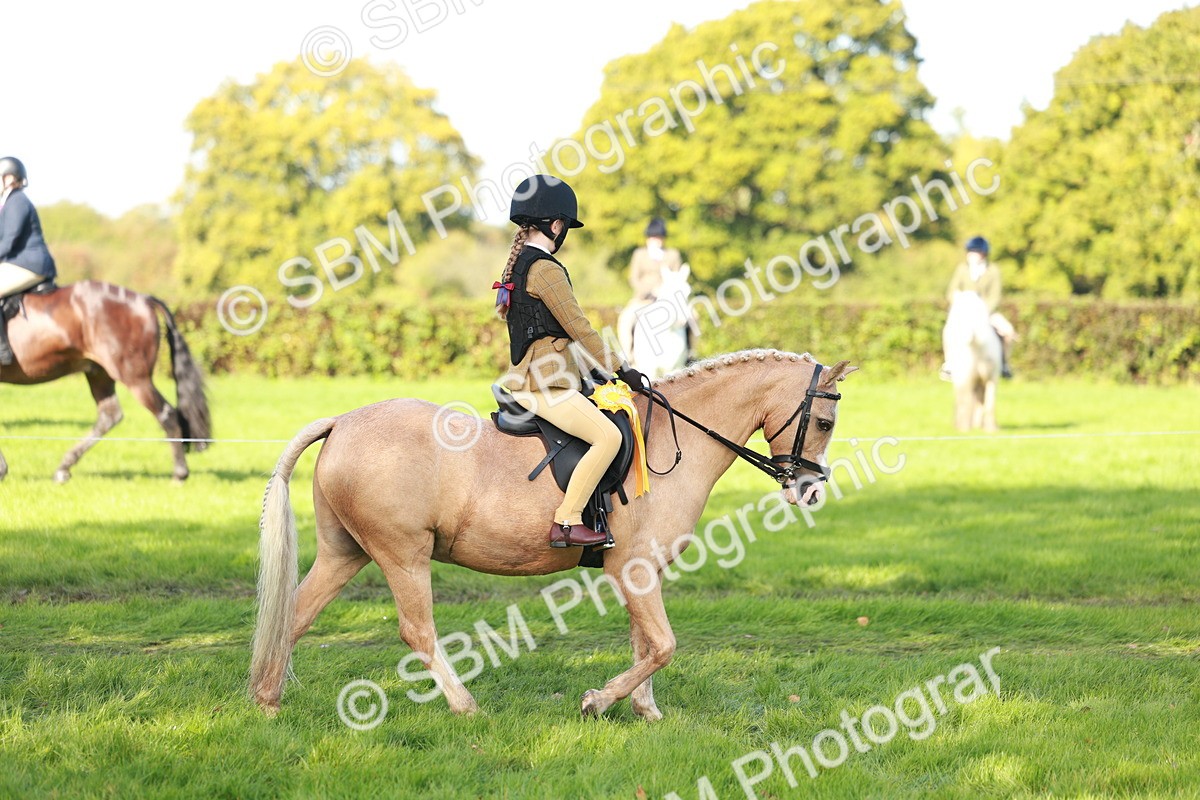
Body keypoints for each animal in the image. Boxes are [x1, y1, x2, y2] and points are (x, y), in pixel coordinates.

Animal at [0, 280, 212, 482]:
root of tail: (143, 300)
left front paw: (2, 470)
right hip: (99, 372)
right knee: (110, 415)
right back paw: (64, 468)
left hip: (134, 377)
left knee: (165, 414)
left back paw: (180, 474)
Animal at [250, 349, 857, 720]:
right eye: (825, 422)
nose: (810, 490)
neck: (671, 439)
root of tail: (343, 421)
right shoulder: (632, 569)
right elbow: (662, 645)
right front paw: (599, 701)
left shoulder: (642, 572)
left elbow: (646, 643)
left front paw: (645, 711)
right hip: (404, 555)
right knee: (417, 632)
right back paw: (465, 706)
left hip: (345, 552)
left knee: (294, 614)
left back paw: (267, 701)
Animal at [942, 290, 1001, 432]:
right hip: (991, 379)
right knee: (987, 402)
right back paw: (989, 428)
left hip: (967, 378)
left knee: (966, 401)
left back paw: (963, 427)